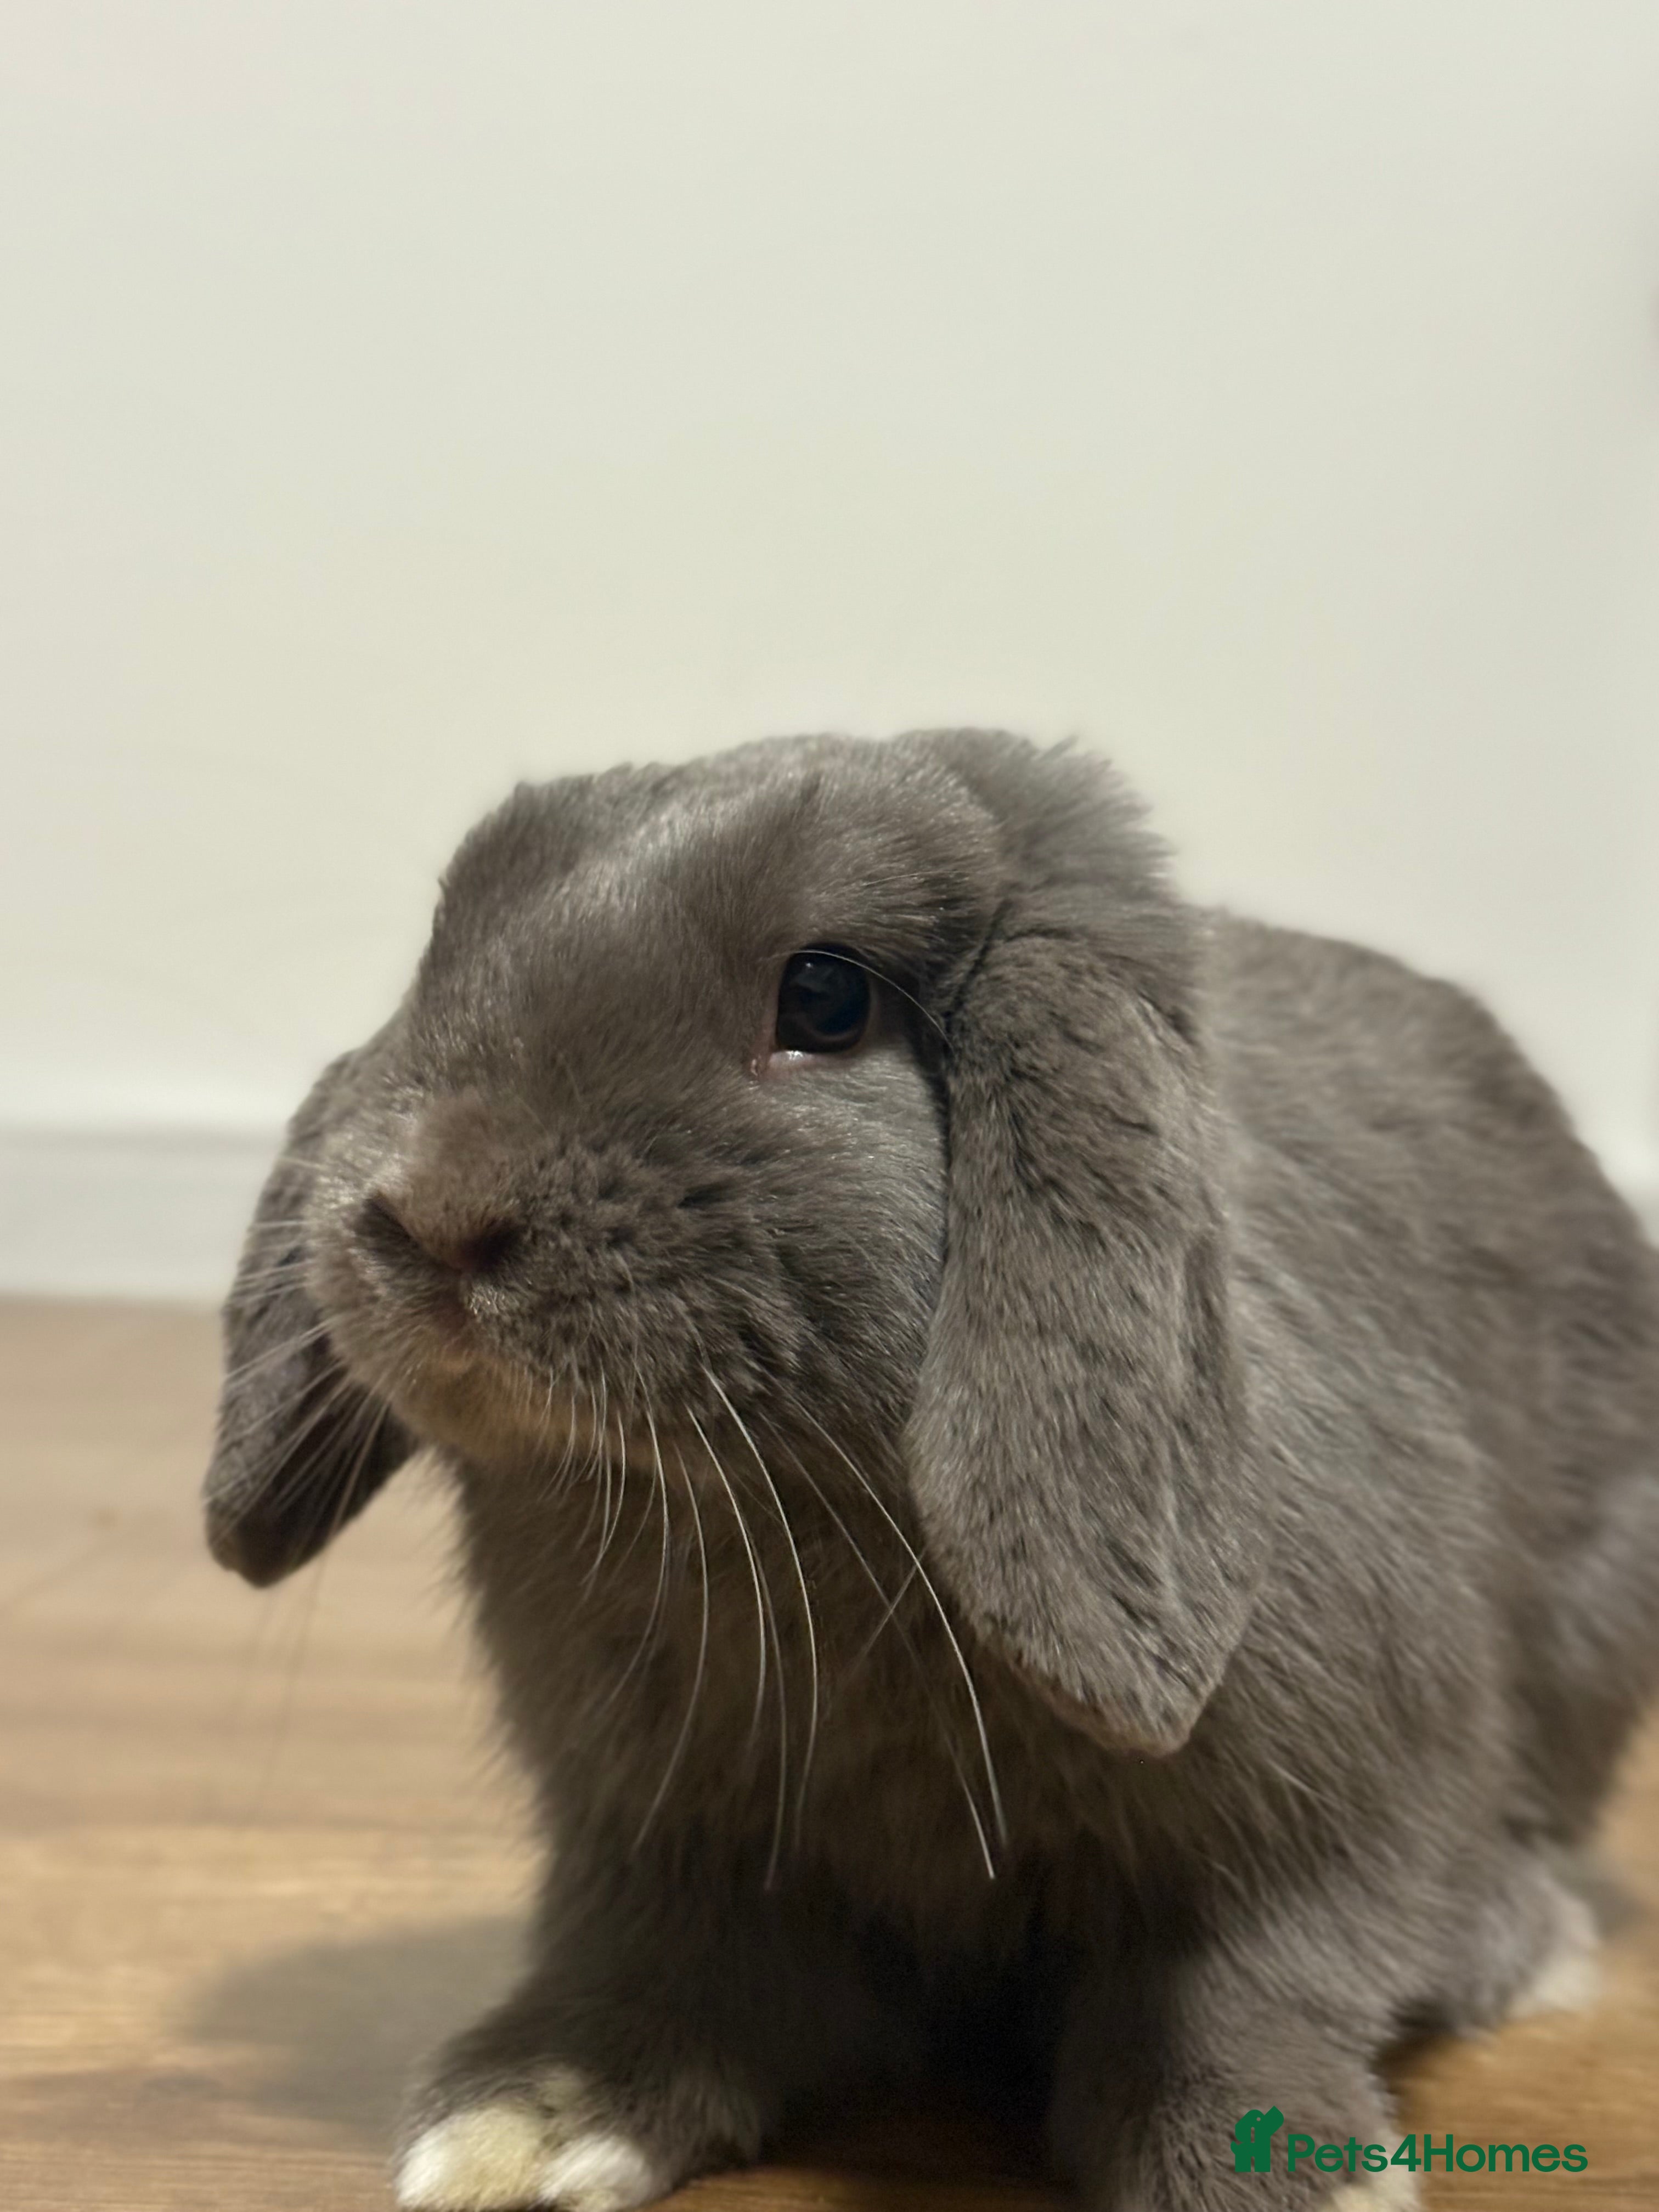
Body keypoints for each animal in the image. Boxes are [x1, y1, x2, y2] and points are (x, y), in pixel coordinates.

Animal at [203, 730, 1659, 2212]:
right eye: (447, 944)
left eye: (825, 995)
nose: (434, 1215)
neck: (786, 1510)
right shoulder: (665, 1837)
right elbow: (662, 1975)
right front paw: (527, 2127)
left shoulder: (1332, 1808)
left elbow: (1242, 1990)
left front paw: (1285, 2175)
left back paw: (1514, 1943)